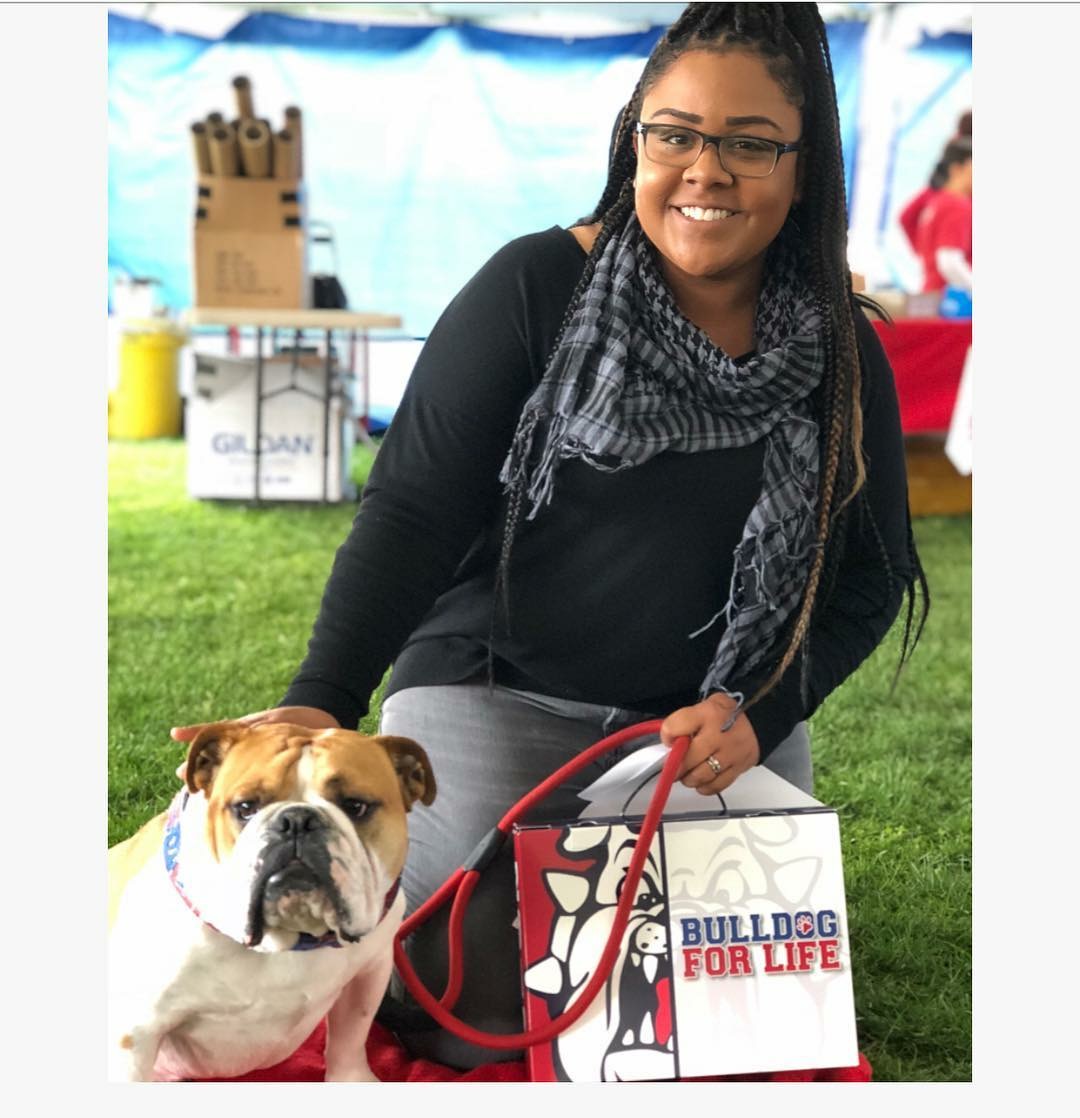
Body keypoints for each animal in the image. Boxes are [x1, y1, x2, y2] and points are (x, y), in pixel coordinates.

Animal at [107, 720, 435, 1082]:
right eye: (245, 807)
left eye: (354, 805)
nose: (297, 820)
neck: (290, 939)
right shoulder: (137, 1031)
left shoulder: (370, 970)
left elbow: (351, 1036)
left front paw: (352, 1079)